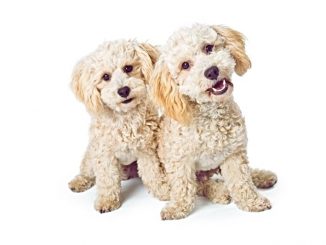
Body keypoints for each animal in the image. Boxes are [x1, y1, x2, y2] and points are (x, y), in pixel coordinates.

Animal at [69, 39, 171, 212]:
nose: (123, 90)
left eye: (128, 68)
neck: (125, 118)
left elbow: (152, 173)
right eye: (105, 76)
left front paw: (163, 190)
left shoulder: (147, 150)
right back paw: (79, 182)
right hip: (91, 155)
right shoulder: (105, 154)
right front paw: (107, 201)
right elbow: (107, 178)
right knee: (86, 170)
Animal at [152, 24, 276, 220]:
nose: (212, 71)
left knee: (245, 172)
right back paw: (220, 191)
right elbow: (183, 187)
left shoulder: (234, 154)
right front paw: (177, 208)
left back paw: (261, 176)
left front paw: (252, 201)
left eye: (208, 48)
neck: (211, 115)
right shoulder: (180, 162)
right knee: (201, 184)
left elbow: (242, 181)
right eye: (185, 65)